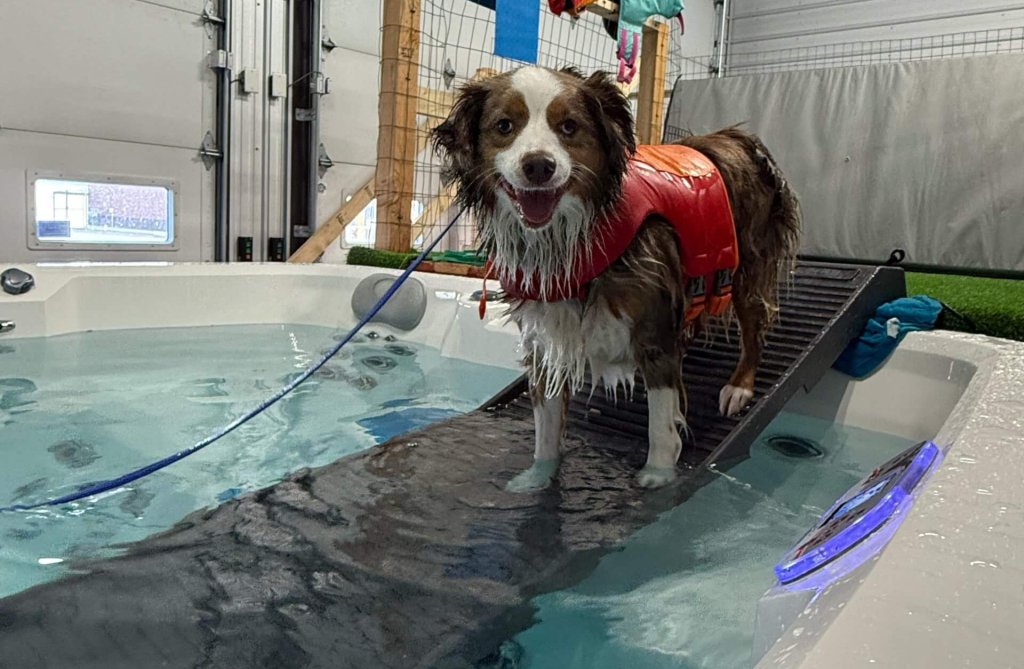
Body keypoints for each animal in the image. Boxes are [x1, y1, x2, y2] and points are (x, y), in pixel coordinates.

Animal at [432, 65, 798, 489]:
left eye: (569, 126)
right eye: (504, 125)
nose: (538, 165)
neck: (568, 239)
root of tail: (737, 137)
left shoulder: (655, 334)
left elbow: (661, 426)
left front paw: (657, 476)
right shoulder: (547, 339)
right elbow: (546, 429)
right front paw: (538, 479)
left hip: (748, 267)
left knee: (754, 328)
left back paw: (740, 386)